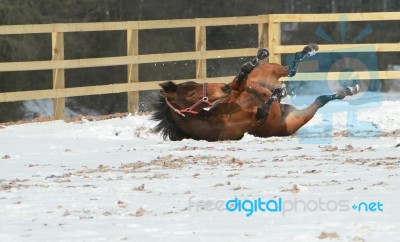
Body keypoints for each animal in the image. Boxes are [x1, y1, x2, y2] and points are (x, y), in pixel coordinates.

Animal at [152, 44, 360, 141]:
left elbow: (240, 80)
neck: (218, 116)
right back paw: (347, 91)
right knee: (319, 99)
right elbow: (262, 110)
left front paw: (252, 65)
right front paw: (276, 93)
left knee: (289, 70)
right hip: (297, 119)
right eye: (189, 94)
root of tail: (285, 109)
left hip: (267, 72)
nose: (223, 88)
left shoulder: (239, 88)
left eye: (194, 84)